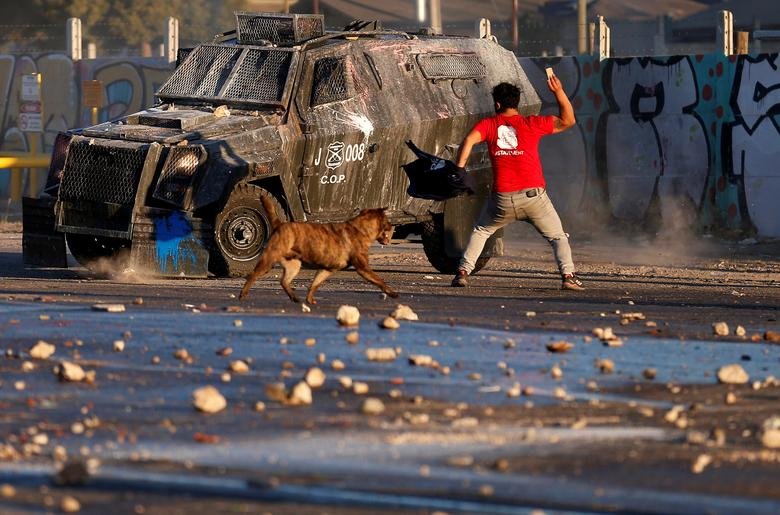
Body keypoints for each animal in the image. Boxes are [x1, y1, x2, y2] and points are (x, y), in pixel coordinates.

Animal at [239, 196, 400, 304]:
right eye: (387, 221)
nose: (392, 225)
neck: (361, 229)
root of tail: (280, 224)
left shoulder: (326, 269)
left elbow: (314, 284)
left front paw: (310, 299)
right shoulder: (363, 268)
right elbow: (379, 281)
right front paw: (392, 292)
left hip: (294, 265)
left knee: (284, 281)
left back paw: (294, 297)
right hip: (268, 260)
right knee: (252, 275)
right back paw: (243, 294)